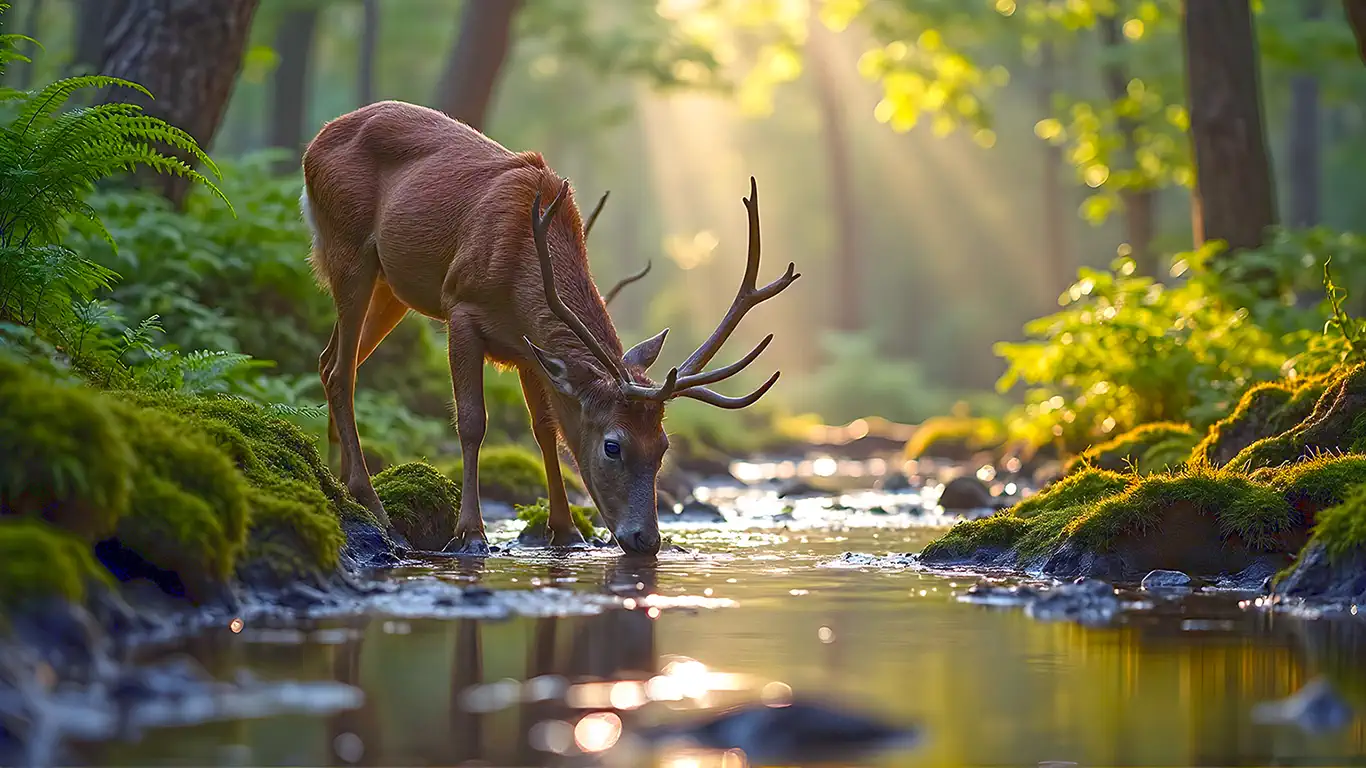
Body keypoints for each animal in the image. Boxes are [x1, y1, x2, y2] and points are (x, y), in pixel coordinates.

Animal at [302, 100, 798, 556]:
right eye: (613, 446)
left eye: (662, 446)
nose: (647, 540)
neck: (521, 272)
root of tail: (315, 144)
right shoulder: (460, 304)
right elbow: (472, 421)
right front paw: (471, 533)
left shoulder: (528, 348)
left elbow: (545, 430)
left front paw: (566, 530)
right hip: (348, 249)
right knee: (342, 370)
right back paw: (371, 502)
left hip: (392, 287)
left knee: (329, 362)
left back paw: (341, 481)